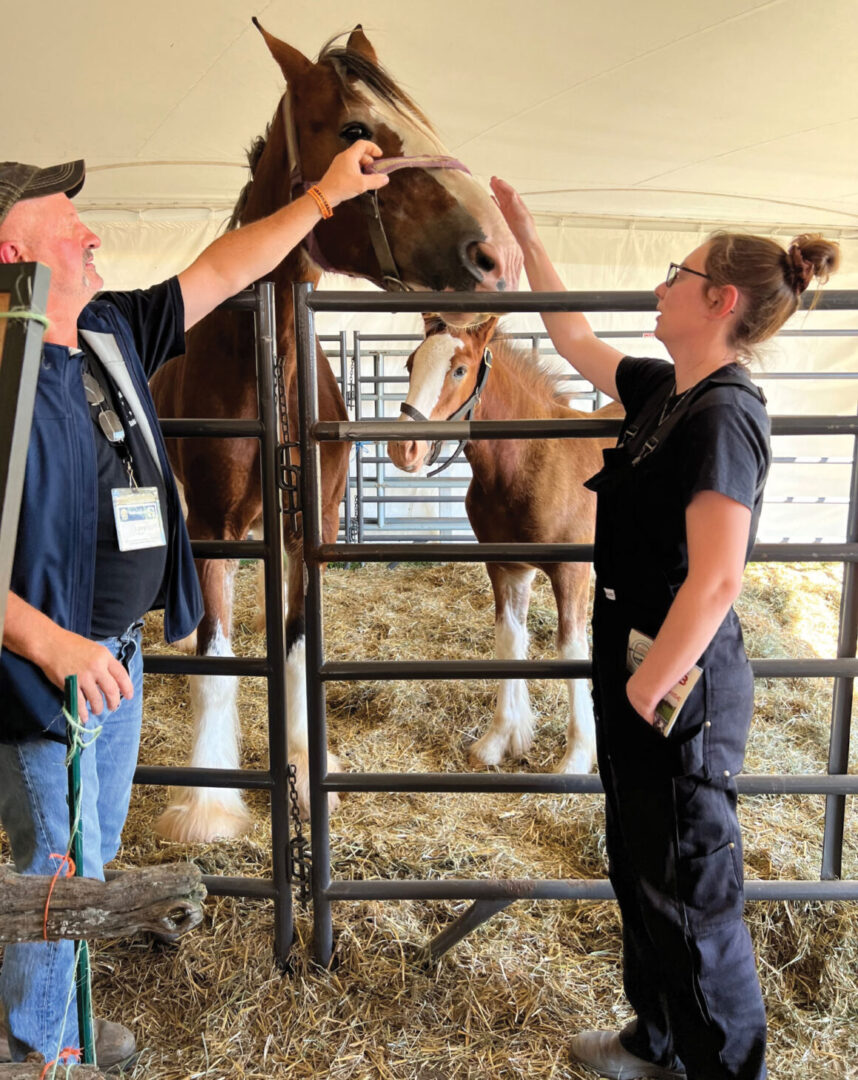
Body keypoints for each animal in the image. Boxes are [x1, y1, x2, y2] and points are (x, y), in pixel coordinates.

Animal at [146, 21, 514, 838]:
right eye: (354, 132)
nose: (498, 256)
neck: (267, 358)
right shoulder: (216, 523)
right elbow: (219, 652)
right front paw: (206, 804)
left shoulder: (308, 524)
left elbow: (292, 645)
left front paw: (306, 765)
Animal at [384, 315, 618, 773]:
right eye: (410, 364)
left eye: (459, 370)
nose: (405, 449)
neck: (528, 461)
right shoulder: (506, 566)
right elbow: (509, 640)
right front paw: (498, 740)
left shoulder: (572, 571)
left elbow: (571, 649)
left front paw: (577, 756)